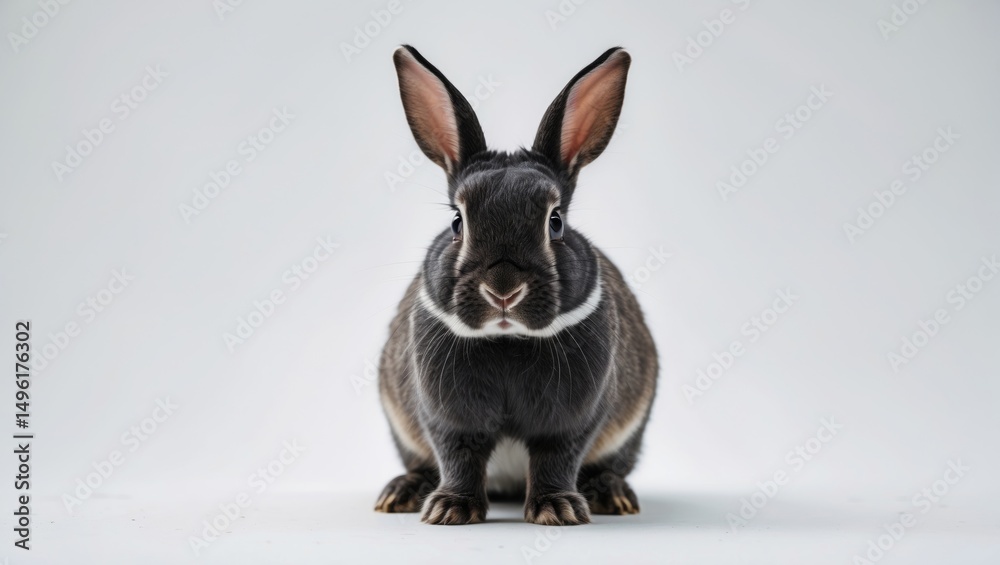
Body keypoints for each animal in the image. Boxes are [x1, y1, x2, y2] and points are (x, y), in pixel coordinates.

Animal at [374, 45, 658, 526]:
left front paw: (558, 509)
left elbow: (556, 456)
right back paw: (401, 493)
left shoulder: (571, 419)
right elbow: (459, 454)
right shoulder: (447, 416)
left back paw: (611, 495)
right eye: (458, 222)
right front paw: (450, 509)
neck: (507, 338)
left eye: (555, 222)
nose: (503, 290)